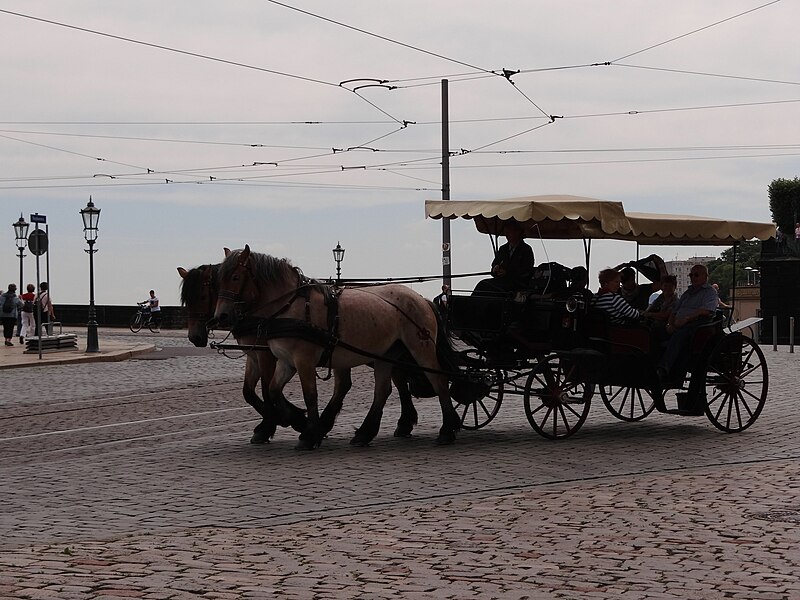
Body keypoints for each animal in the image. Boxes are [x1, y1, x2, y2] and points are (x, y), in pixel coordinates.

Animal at [212, 245, 460, 450]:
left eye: (235, 277)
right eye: (218, 280)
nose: (221, 316)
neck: (289, 307)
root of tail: (420, 298)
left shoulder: (301, 359)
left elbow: (309, 394)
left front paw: (307, 434)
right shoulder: (284, 361)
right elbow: (272, 390)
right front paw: (296, 420)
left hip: (420, 348)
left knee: (438, 381)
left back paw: (447, 430)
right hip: (385, 353)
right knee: (383, 390)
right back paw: (365, 433)